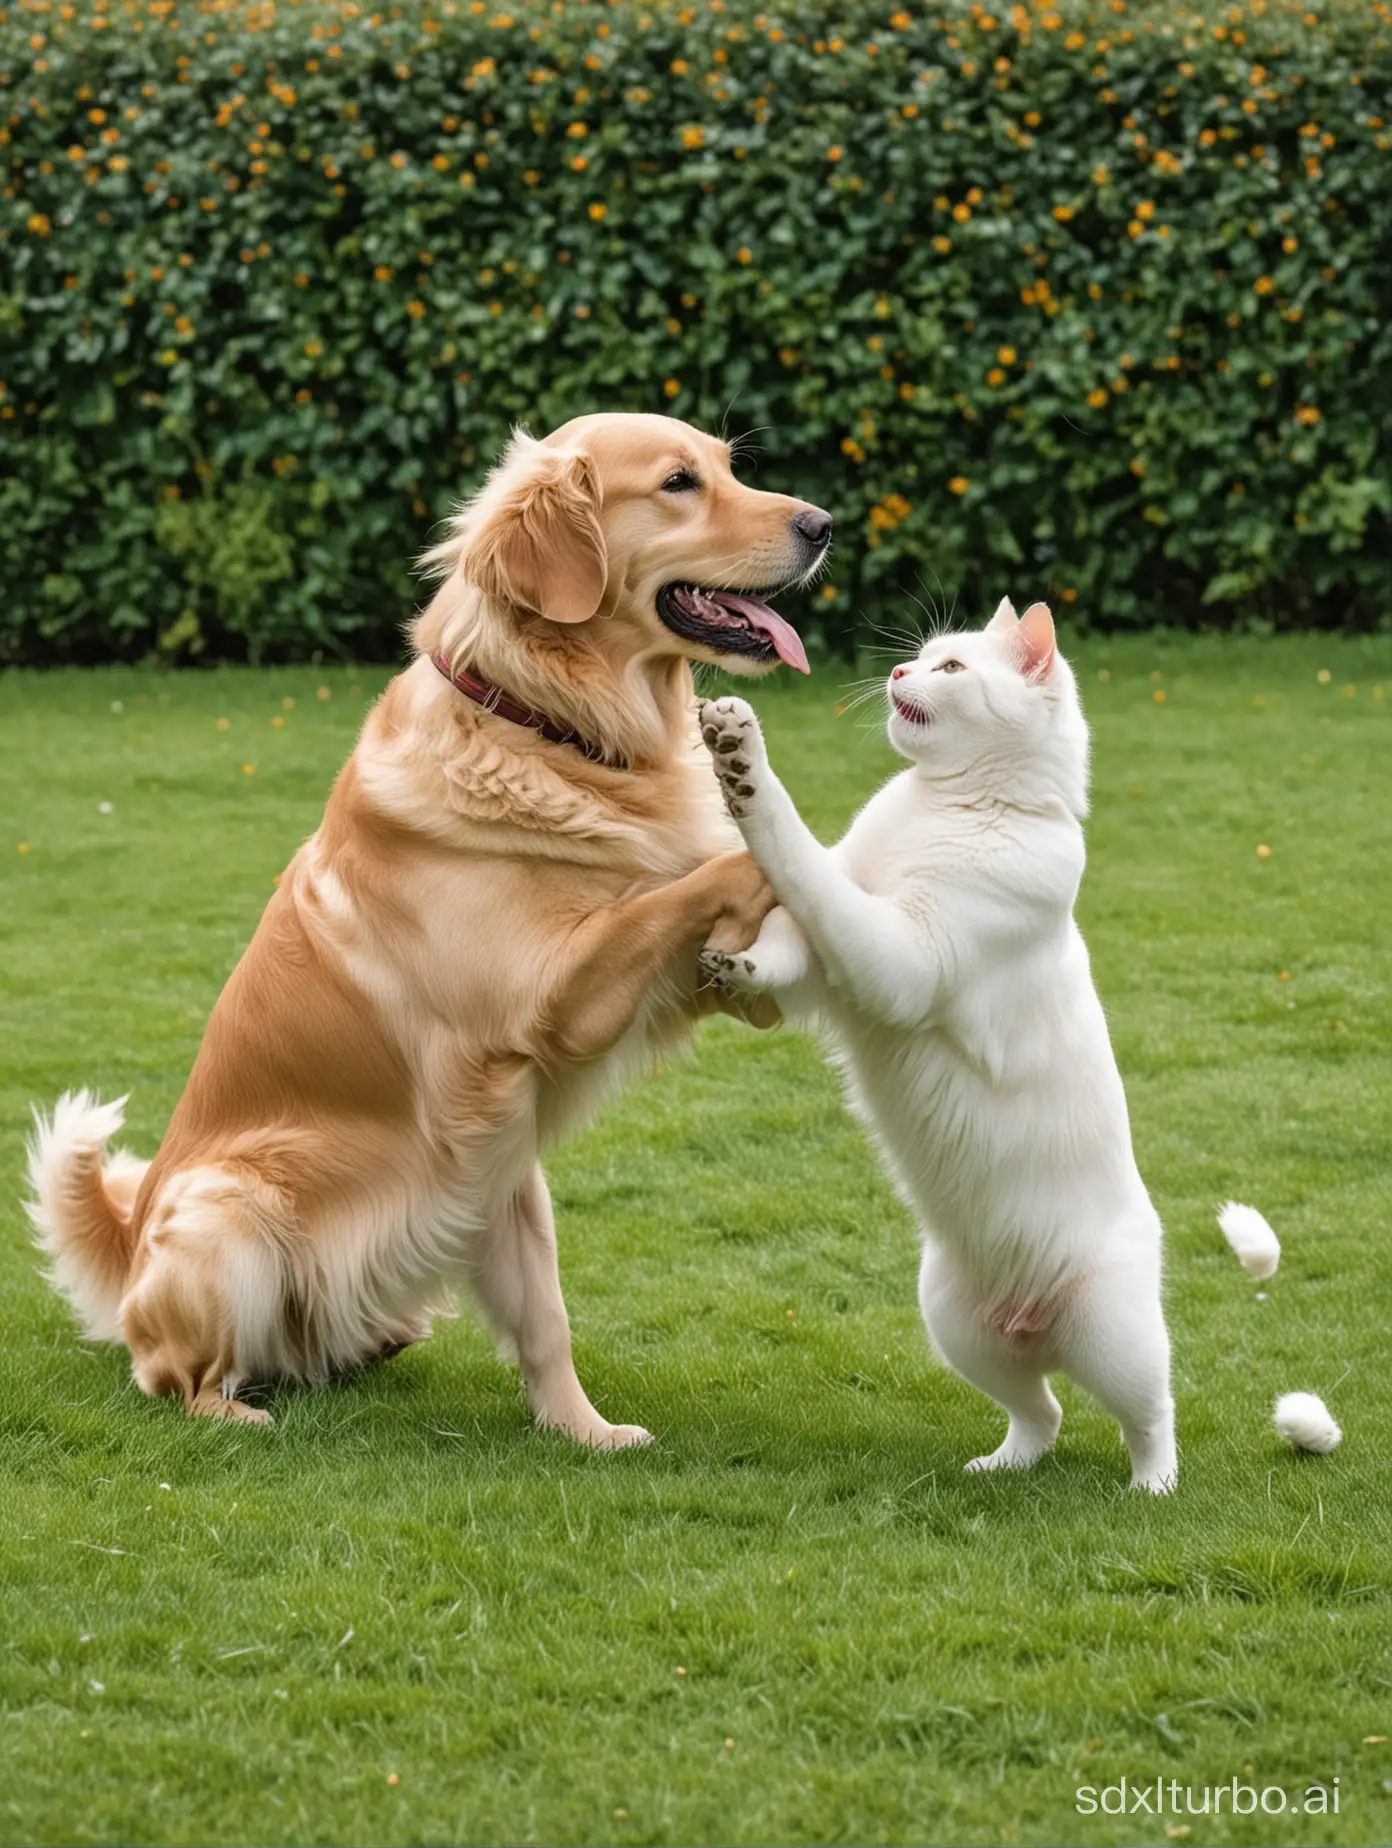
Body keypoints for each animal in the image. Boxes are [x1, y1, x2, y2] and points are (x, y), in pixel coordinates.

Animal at [695, 598, 1175, 1493]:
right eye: (923, 656)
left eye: (951, 670)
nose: (895, 672)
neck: (952, 805)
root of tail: (1031, 1319)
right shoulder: (833, 971)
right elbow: (787, 929)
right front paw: (737, 965)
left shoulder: (896, 962)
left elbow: (799, 860)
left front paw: (744, 763)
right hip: (957, 1324)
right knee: (1042, 1415)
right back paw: (998, 1466)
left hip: (1113, 1338)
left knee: (1151, 1417)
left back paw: (1153, 1488)